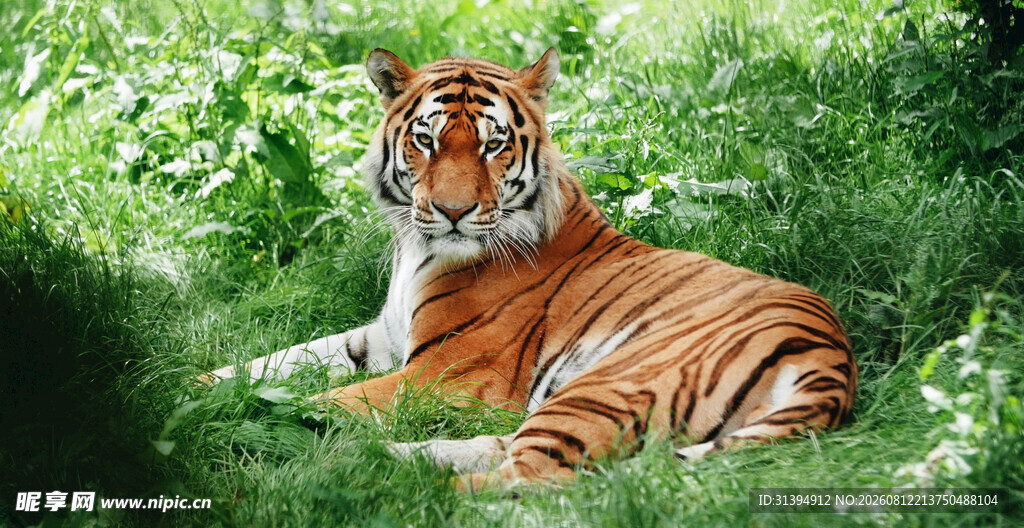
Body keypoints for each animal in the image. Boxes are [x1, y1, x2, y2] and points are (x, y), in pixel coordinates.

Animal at [202, 48, 857, 490]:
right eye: (426, 141)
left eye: (493, 145)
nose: (453, 212)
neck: (418, 250)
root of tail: (832, 357)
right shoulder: (380, 338)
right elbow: (272, 364)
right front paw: (196, 390)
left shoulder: (447, 374)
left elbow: (324, 399)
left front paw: (248, 418)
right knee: (506, 451)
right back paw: (376, 461)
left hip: (602, 384)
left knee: (529, 482)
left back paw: (377, 483)